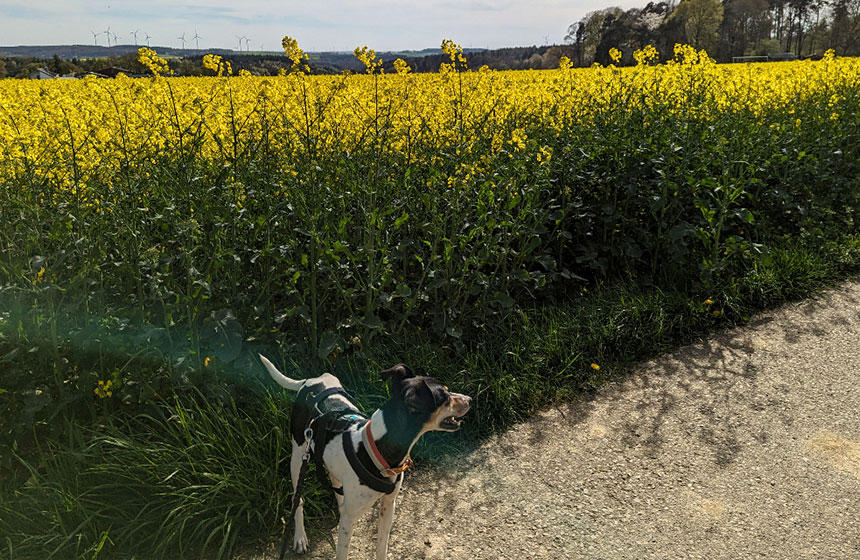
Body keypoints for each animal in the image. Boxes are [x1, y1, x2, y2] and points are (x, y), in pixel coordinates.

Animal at [258, 356, 474, 556]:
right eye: (444, 396)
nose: (470, 399)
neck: (377, 447)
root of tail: (310, 381)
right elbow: (342, 553)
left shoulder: (388, 505)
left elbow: (382, 546)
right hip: (298, 458)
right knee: (298, 499)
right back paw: (300, 537)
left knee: (335, 484)